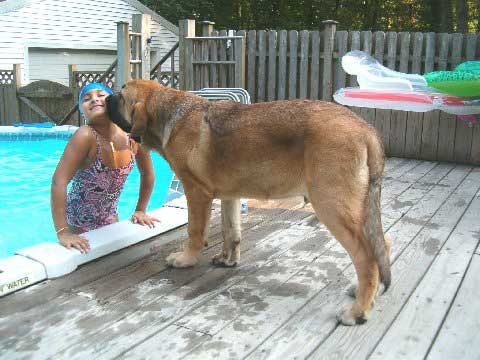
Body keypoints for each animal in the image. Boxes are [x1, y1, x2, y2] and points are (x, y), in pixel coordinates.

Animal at [108, 80, 390, 324]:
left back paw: (357, 311)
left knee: (367, 258)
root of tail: (366, 129)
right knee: (382, 246)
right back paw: (365, 294)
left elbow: (195, 232)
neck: (170, 113)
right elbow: (231, 230)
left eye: (121, 96)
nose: (106, 98)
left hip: (332, 206)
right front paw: (228, 260)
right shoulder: (230, 196)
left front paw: (186, 259)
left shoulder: (196, 192)